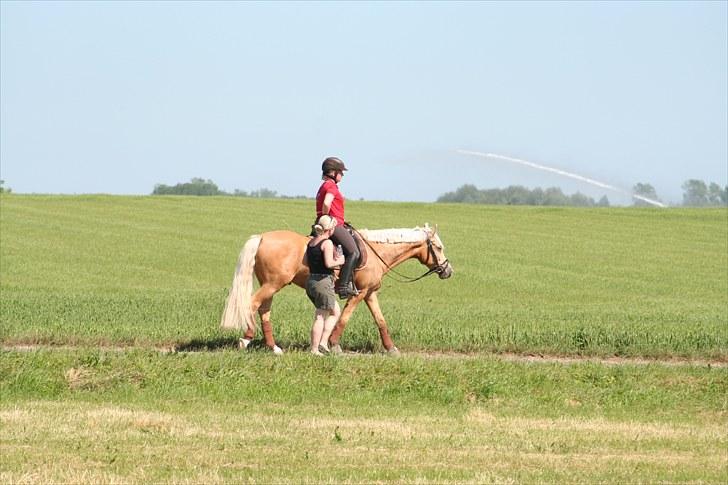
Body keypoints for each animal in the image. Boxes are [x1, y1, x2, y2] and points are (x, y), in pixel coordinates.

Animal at [219, 223, 452, 352]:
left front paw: (390, 348)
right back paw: (246, 339)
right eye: (439, 247)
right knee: (252, 305)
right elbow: (344, 318)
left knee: (264, 310)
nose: (448, 271)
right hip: (273, 284)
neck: (376, 251)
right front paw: (333, 344)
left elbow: (380, 320)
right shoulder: (359, 294)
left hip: (270, 284)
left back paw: (273, 347)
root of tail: (262, 237)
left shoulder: (370, 293)